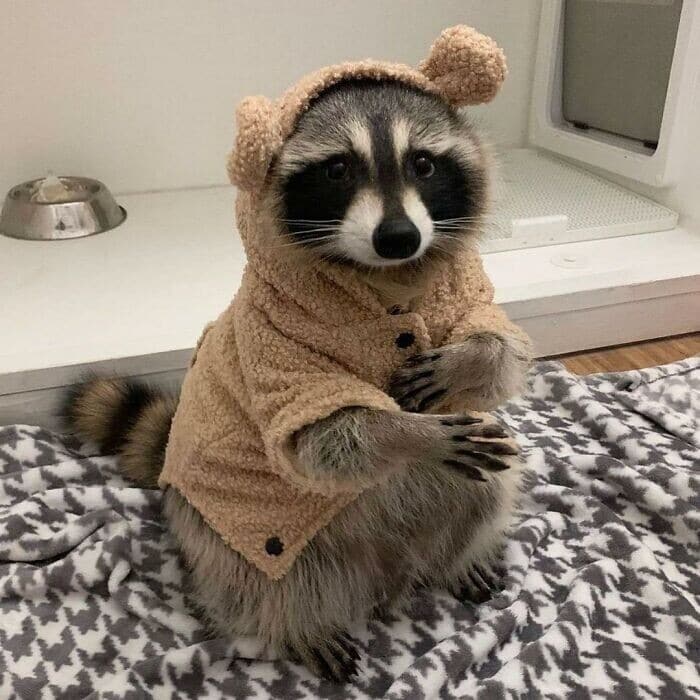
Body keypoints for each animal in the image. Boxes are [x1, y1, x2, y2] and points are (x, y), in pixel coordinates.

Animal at [63, 81, 531, 682]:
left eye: (423, 163)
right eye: (338, 170)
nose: (399, 236)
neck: (385, 277)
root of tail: (389, 566)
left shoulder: (463, 290)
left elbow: (500, 350)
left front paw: (469, 360)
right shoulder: (277, 352)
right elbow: (323, 440)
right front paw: (409, 435)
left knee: (489, 489)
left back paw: (458, 557)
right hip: (228, 533)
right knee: (259, 582)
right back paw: (297, 625)